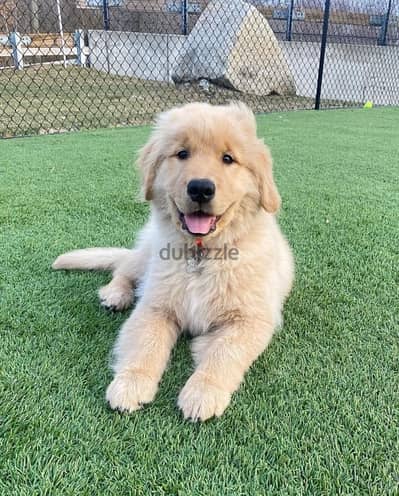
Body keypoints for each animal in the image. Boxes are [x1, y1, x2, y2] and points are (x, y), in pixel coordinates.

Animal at [53, 102, 296, 420]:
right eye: (182, 154)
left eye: (228, 158)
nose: (201, 188)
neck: (200, 255)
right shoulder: (155, 305)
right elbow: (146, 343)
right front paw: (130, 383)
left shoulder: (252, 319)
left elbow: (224, 352)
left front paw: (203, 391)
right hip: (147, 253)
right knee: (123, 268)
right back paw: (115, 295)